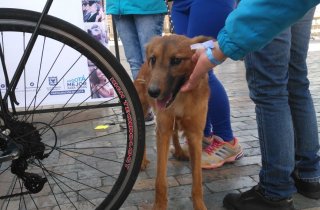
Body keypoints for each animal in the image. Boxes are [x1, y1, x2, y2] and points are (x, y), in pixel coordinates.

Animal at [134, 35, 211, 209]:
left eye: (176, 60)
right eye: (153, 59)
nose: (152, 92)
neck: (180, 100)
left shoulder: (195, 135)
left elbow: (197, 181)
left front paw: (200, 205)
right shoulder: (162, 132)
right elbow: (160, 181)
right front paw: (159, 206)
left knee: (175, 133)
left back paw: (179, 151)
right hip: (142, 109)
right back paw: (141, 161)